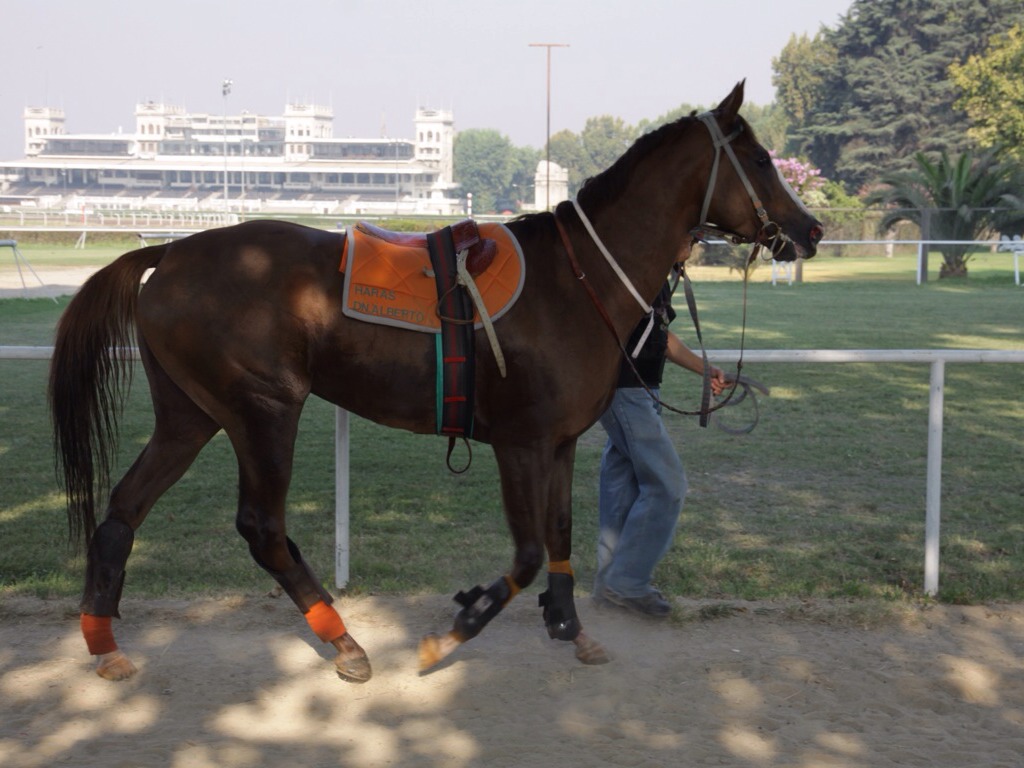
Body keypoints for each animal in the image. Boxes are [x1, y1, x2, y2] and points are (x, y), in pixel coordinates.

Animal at [49, 82, 822, 683]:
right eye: (760, 159)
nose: (810, 228)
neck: (573, 282)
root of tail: (174, 249)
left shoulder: (561, 441)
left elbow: (561, 536)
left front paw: (570, 626)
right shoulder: (519, 442)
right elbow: (527, 553)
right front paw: (455, 629)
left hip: (190, 415)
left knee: (122, 510)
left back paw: (104, 642)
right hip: (264, 410)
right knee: (261, 529)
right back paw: (344, 641)